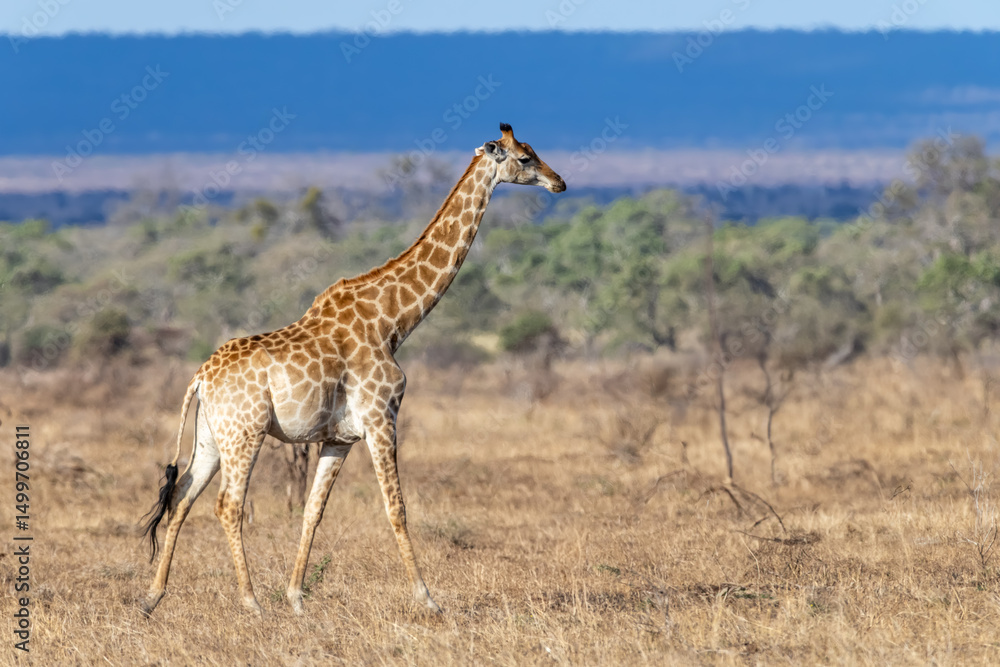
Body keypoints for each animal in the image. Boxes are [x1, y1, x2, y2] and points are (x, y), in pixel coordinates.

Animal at [140, 123, 566, 616]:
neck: (392, 320)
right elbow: (396, 508)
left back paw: (153, 596)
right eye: (525, 158)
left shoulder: (338, 439)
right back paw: (250, 602)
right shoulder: (382, 419)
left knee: (182, 496)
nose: (560, 182)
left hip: (212, 435)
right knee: (227, 505)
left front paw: (297, 598)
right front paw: (427, 598)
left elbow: (313, 511)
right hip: (244, 433)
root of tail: (200, 379)